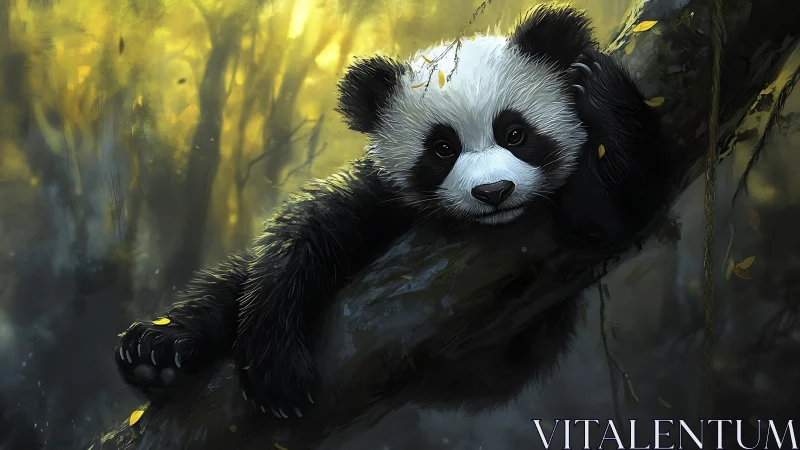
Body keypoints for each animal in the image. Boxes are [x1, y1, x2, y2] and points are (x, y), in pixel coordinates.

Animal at [114, 3, 677, 420]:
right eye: (442, 149)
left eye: (516, 133)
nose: (494, 192)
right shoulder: (379, 199)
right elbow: (301, 239)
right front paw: (276, 369)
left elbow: (605, 216)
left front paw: (600, 84)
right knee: (227, 281)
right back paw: (157, 351)